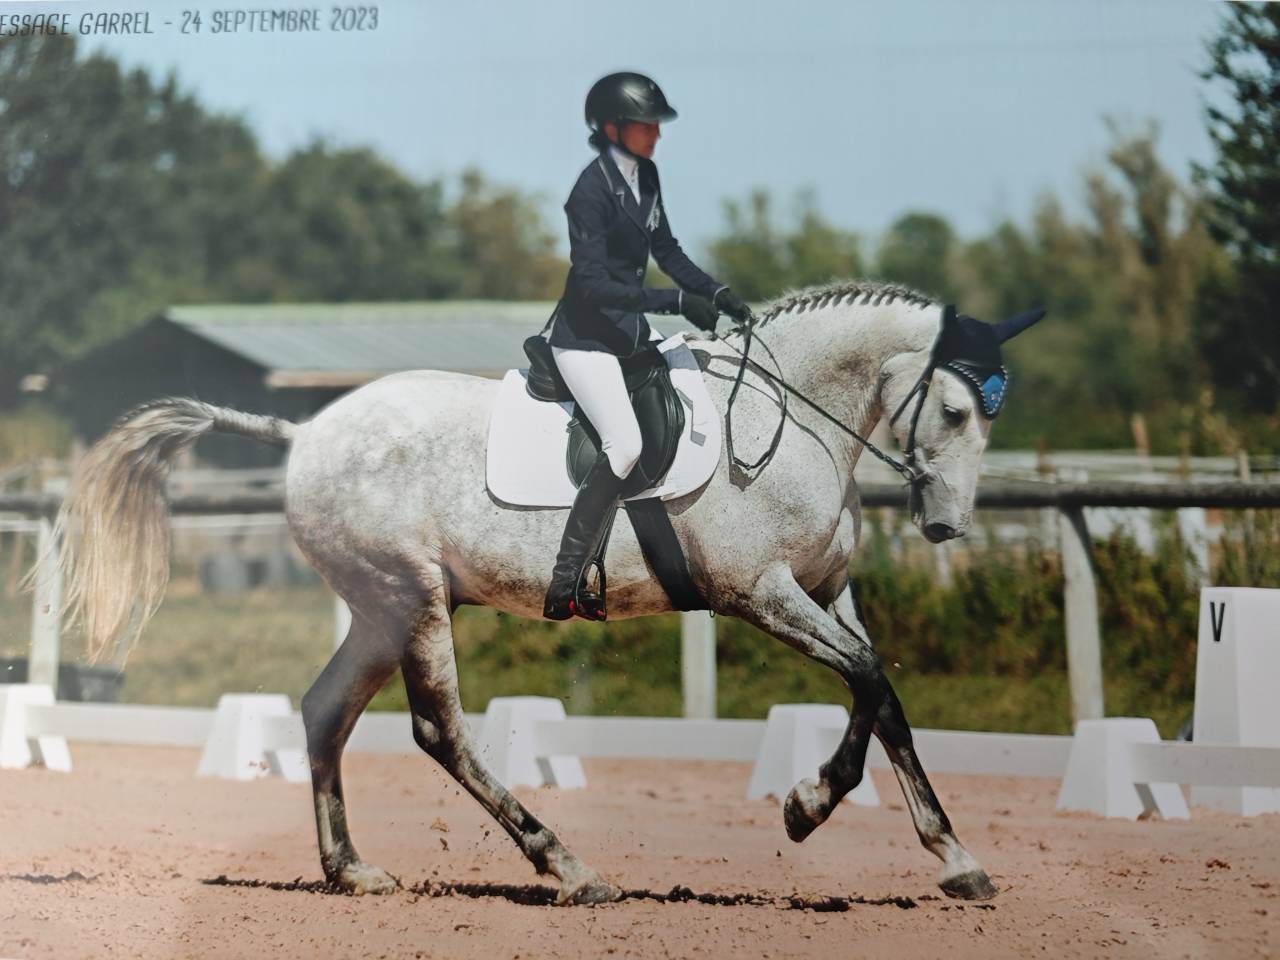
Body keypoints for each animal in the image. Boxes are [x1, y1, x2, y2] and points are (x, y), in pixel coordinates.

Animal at [51, 279, 1042, 906]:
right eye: (956, 410)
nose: (946, 526)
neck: (788, 418)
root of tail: (300, 435)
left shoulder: (828, 593)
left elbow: (883, 696)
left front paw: (948, 855)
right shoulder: (759, 593)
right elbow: (869, 682)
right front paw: (815, 810)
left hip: (379, 612)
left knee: (325, 711)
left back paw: (352, 870)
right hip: (413, 601)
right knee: (440, 732)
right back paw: (567, 866)